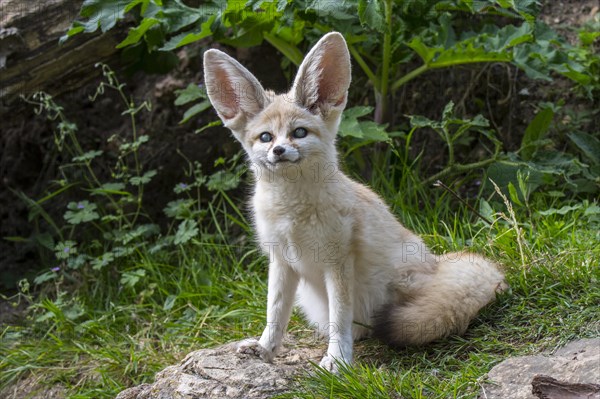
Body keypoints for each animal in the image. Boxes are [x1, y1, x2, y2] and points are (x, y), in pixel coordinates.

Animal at [203, 31, 506, 372]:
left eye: (299, 132)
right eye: (266, 137)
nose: (278, 151)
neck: (293, 215)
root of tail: (440, 263)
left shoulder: (338, 262)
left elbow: (339, 317)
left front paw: (336, 359)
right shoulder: (281, 261)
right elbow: (275, 314)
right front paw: (265, 349)